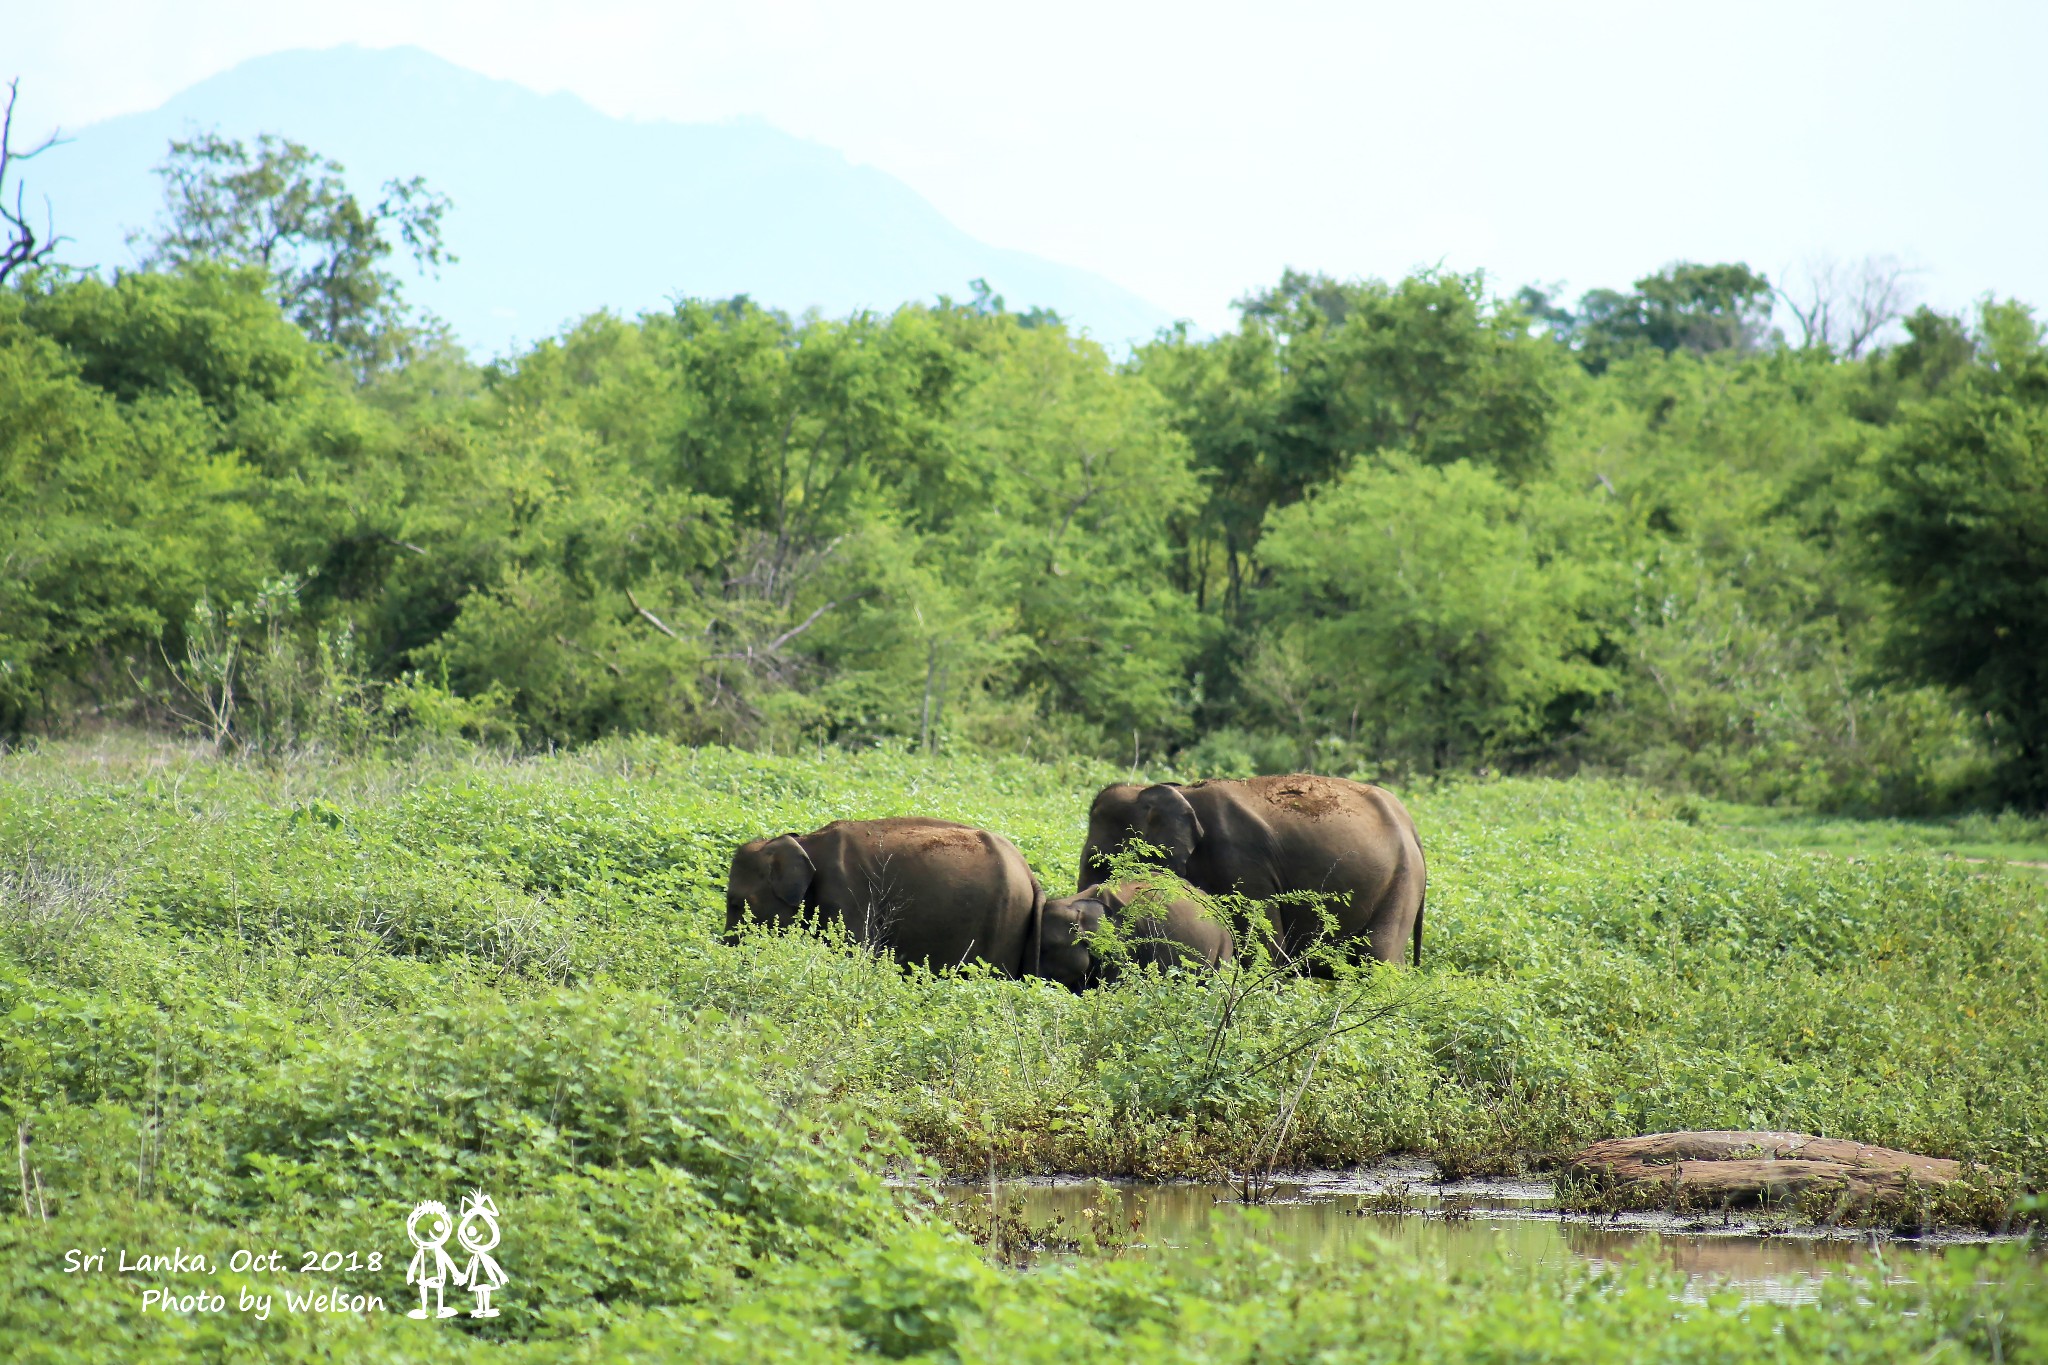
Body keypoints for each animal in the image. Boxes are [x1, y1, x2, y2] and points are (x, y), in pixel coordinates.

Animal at [724, 818, 1040, 978]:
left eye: (737, 904)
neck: (805, 842)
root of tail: (1029, 874)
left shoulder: (848, 895)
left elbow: (854, 950)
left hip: (1003, 925)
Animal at [1073, 773, 1425, 965]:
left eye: (1098, 861)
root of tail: (1411, 825)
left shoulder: (1242, 865)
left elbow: (1264, 948)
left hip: (1402, 881)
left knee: (1378, 955)